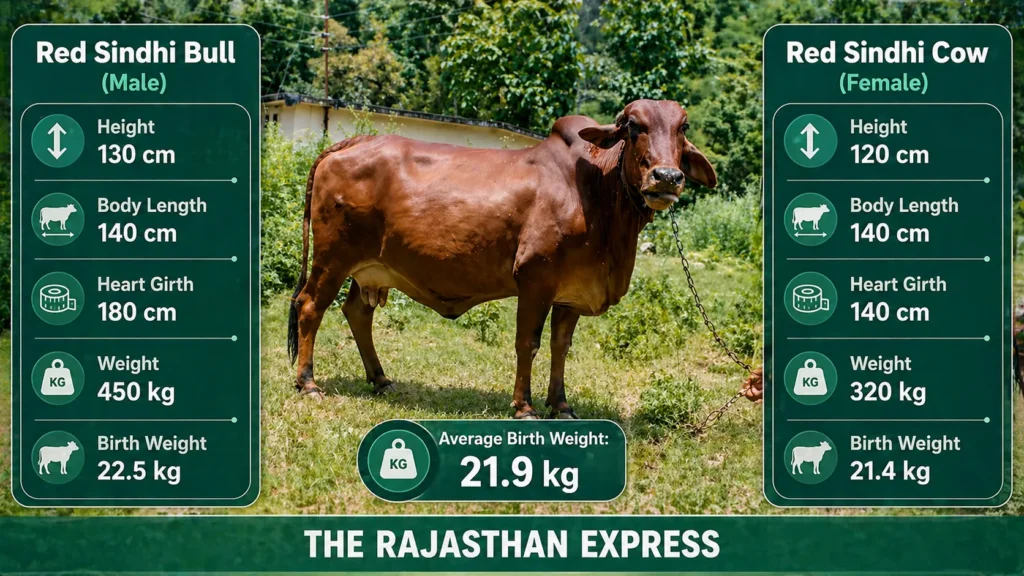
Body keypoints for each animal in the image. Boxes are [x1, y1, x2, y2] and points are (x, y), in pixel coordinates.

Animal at [287, 99, 717, 419]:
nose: (667, 177)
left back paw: (380, 379)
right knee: (310, 306)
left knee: (357, 312)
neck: (597, 193)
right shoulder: (535, 279)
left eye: (683, 127)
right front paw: (524, 406)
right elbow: (528, 343)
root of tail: (350, 143)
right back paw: (308, 383)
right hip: (333, 258)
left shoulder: (571, 292)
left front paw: (561, 405)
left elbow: (561, 345)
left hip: (368, 269)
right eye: (632, 126)